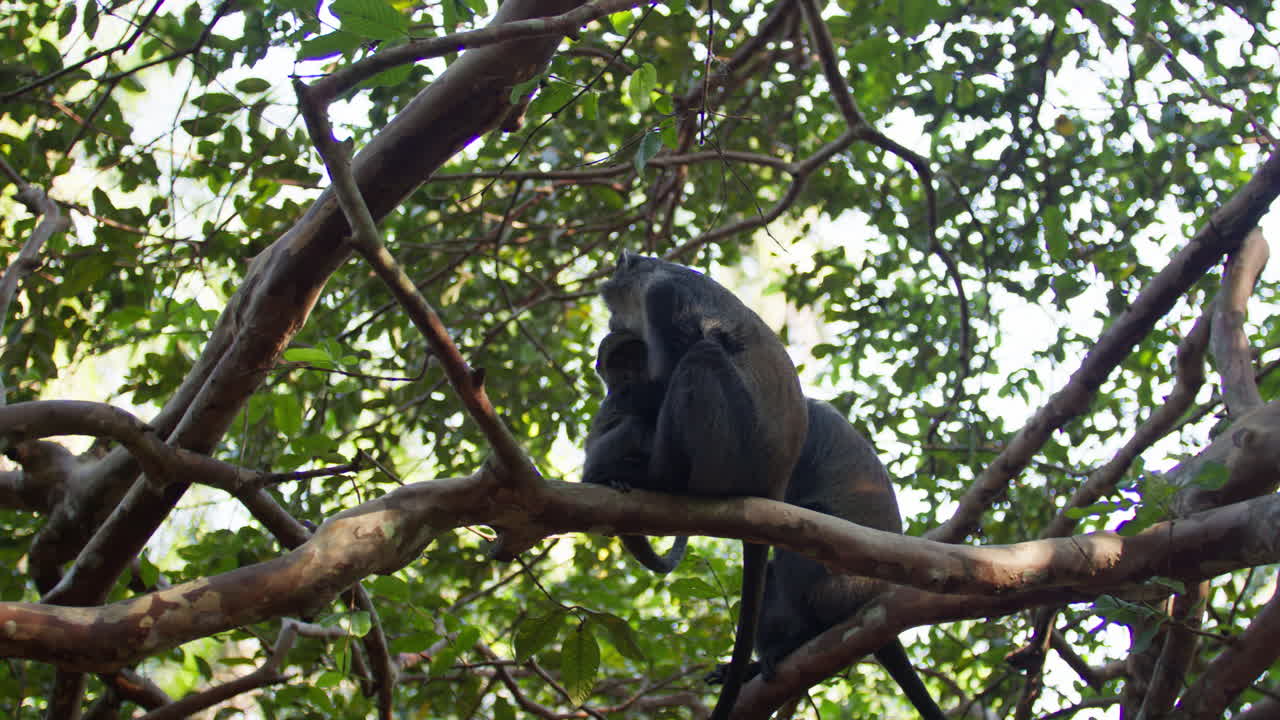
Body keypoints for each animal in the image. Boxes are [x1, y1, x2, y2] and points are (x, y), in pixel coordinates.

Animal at [593, 251, 809, 720]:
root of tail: (774, 484)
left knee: (701, 356)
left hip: (733, 451)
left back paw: (657, 478)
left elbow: (664, 378)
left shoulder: (664, 299)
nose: (613, 324)